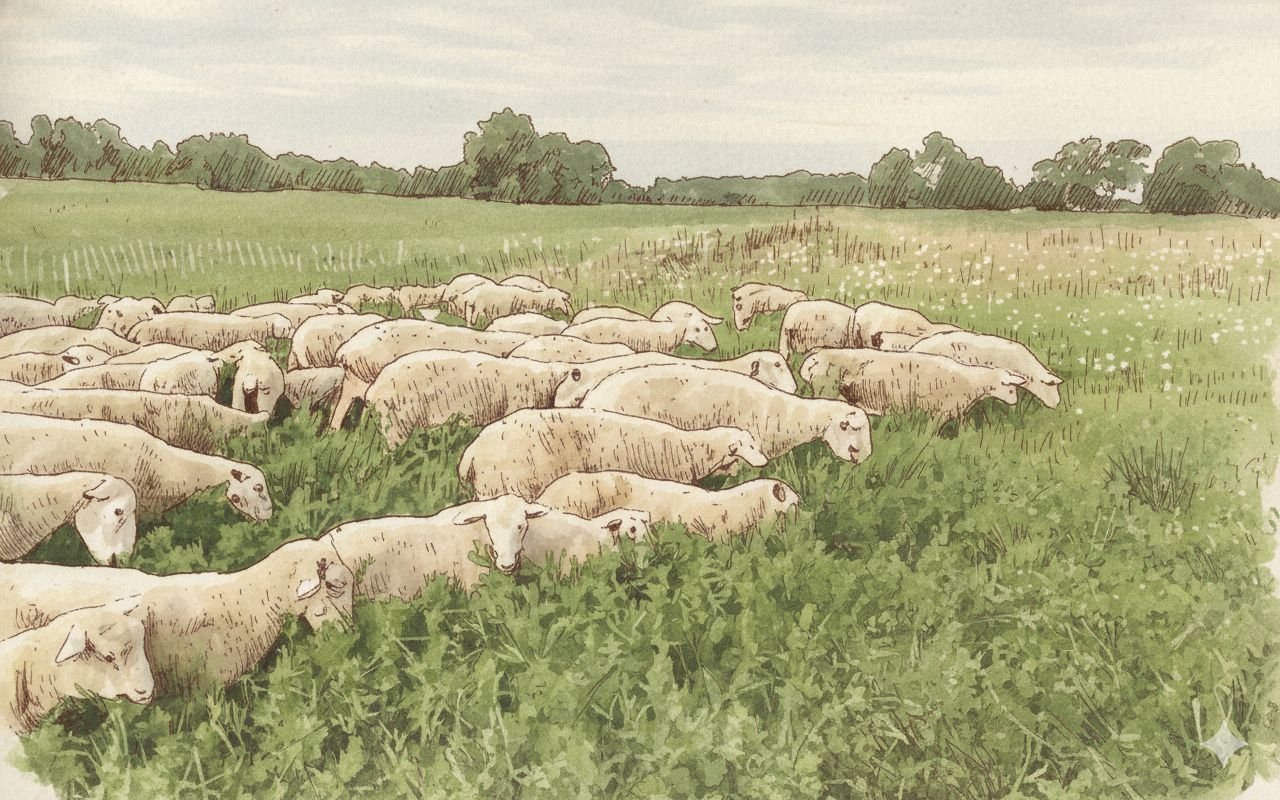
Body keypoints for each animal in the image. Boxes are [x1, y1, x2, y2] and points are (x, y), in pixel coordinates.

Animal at [799, 348, 1026, 422]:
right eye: (1009, 387)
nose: (1015, 403)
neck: (972, 383)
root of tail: (813, 359)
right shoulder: (939, 412)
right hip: (826, 391)